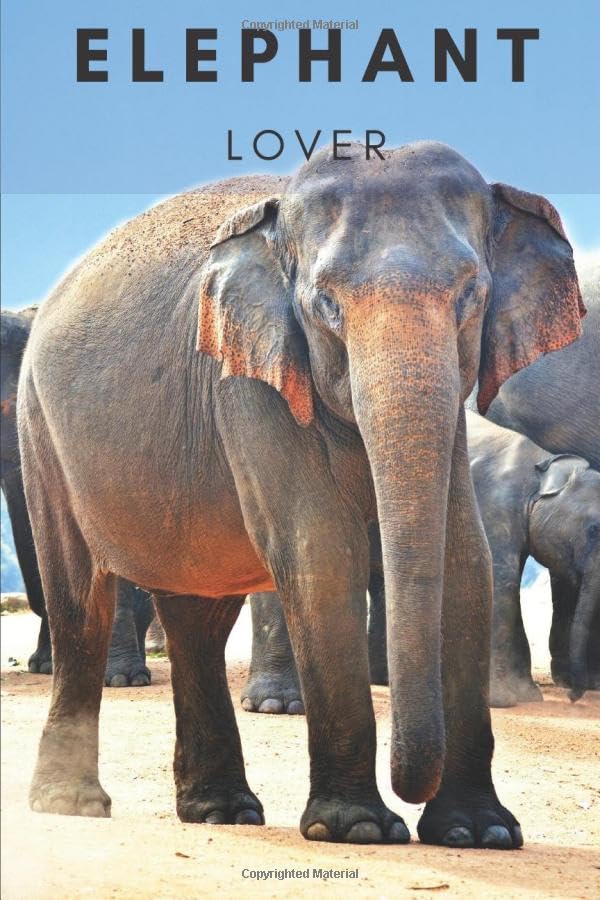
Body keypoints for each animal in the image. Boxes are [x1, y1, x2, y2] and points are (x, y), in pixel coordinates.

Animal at [18, 142, 584, 848]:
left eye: (471, 296)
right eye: (325, 306)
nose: (411, 794)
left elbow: (466, 564)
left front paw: (478, 834)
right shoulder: (246, 380)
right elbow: (321, 555)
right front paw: (359, 830)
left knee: (198, 617)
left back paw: (221, 811)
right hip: (40, 433)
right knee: (80, 599)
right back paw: (72, 803)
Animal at [467, 411, 600, 707]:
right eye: (594, 529)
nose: (573, 697)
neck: (542, 462)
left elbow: (514, 577)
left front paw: (528, 696)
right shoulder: (495, 505)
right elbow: (502, 580)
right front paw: (502, 701)